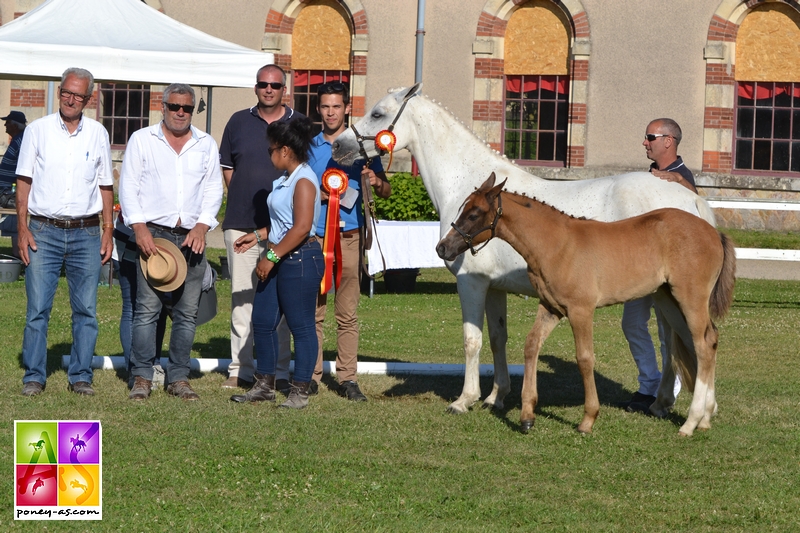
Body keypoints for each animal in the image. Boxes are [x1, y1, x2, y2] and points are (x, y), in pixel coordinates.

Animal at [332, 84, 712, 416]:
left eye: (378, 113)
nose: (338, 146)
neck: (468, 185)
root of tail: (691, 200)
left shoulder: (471, 282)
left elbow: (472, 340)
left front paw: (464, 400)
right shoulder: (494, 286)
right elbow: (498, 338)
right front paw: (496, 397)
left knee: (676, 341)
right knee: (673, 340)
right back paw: (661, 403)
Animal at [438, 175, 736, 436]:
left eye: (474, 214)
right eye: (463, 208)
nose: (443, 248)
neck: (557, 244)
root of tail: (713, 232)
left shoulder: (581, 311)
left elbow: (584, 358)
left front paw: (588, 420)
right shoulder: (550, 307)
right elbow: (531, 345)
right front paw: (527, 416)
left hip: (690, 298)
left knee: (702, 344)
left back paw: (691, 422)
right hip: (668, 299)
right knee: (705, 341)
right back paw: (705, 417)